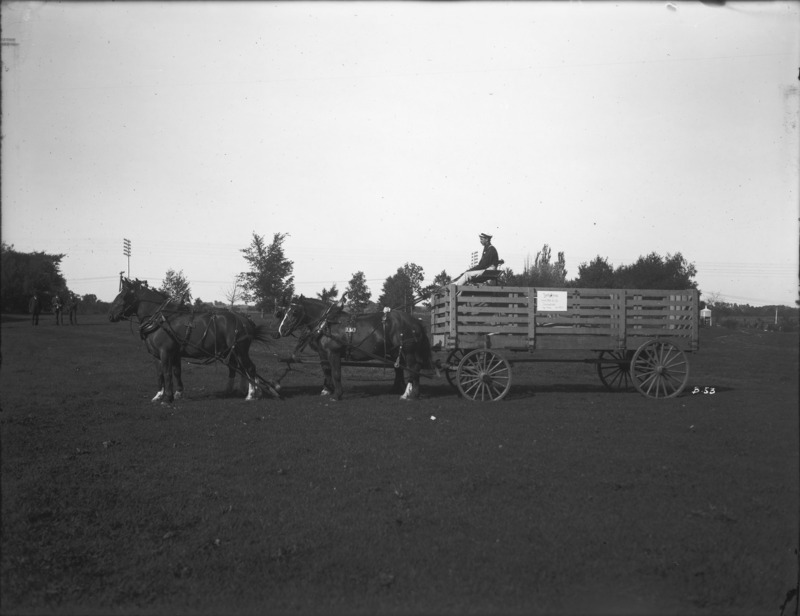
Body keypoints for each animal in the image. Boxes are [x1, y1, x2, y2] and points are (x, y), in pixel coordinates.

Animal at [108, 276, 278, 402]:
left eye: (123, 295)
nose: (110, 316)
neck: (160, 319)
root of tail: (244, 319)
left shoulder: (165, 352)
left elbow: (167, 373)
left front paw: (168, 398)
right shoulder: (165, 354)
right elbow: (168, 373)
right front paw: (166, 394)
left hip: (240, 350)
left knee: (250, 368)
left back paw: (251, 394)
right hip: (233, 351)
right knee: (238, 369)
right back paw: (239, 391)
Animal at [276, 296, 438, 402]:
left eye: (294, 312)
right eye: (284, 312)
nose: (281, 330)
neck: (327, 324)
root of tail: (415, 321)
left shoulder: (333, 353)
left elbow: (336, 373)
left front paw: (336, 395)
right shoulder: (324, 354)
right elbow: (327, 370)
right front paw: (327, 390)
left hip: (408, 351)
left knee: (414, 368)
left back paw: (413, 395)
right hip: (396, 352)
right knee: (401, 368)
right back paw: (400, 391)